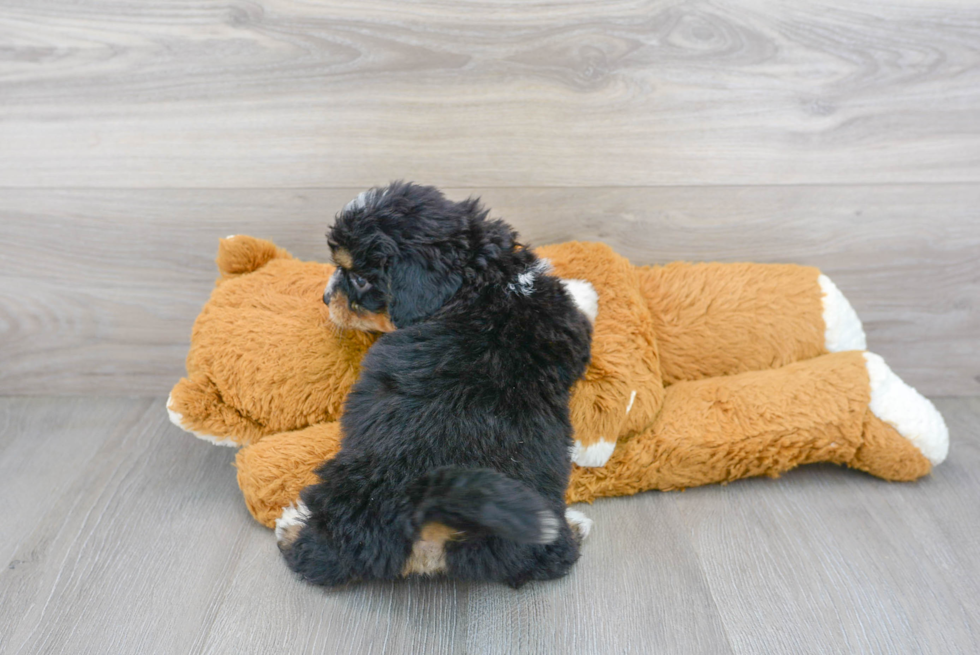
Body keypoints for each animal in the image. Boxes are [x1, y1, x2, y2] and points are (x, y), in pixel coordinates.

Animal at [276, 181, 596, 588]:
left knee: (320, 556)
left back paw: (289, 525)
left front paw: (585, 289)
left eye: (360, 279)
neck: (481, 281)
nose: (325, 298)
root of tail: (431, 513)